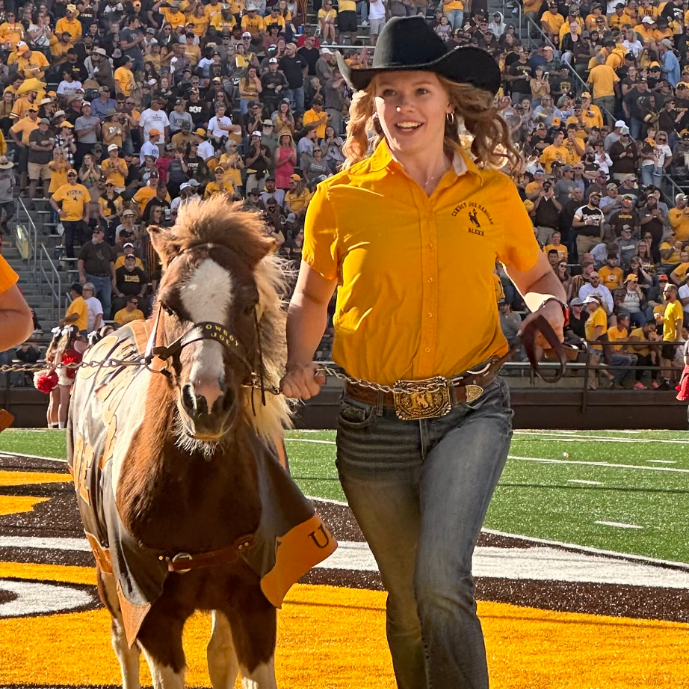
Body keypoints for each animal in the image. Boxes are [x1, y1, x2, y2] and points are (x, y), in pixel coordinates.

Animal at [68, 196, 334, 688]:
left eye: (248, 304)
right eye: (169, 305)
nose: (206, 400)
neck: (198, 492)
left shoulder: (254, 599)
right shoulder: (151, 611)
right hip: (104, 566)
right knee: (121, 642)